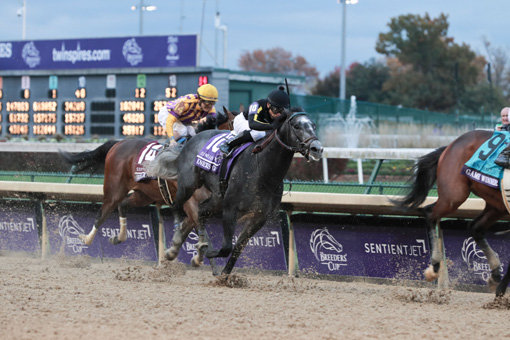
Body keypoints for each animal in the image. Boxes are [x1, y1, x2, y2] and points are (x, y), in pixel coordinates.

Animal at [59, 108, 235, 266]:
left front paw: (178, 253)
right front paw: (197, 255)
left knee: (123, 205)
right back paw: (86, 238)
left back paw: (118, 237)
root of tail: (118, 143)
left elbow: (189, 226)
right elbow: (196, 225)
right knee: (102, 213)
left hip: (144, 194)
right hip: (114, 189)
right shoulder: (190, 201)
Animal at [166, 110, 322, 274]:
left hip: (217, 199)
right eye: (297, 126)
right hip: (189, 184)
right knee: (177, 205)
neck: (262, 170)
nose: (317, 149)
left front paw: (224, 274)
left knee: (200, 213)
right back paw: (181, 237)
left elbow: (237, 248)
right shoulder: (230, 209)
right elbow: (226, 247)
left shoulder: (259, 217)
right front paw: (207, 252)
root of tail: (192, 139)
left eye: (313, 126)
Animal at [396, 129, 508, 294]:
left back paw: (495, 276)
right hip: (454, 196)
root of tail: (450, 145)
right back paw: (435, 267)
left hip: (496, 205)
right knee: (430, 213)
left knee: (475, 227)